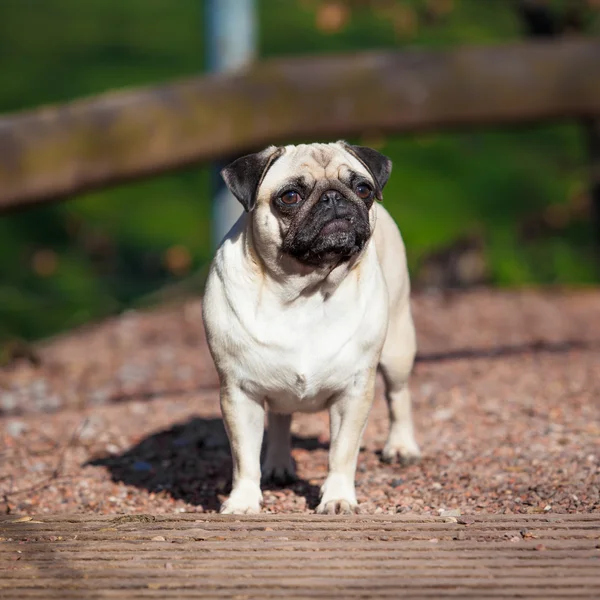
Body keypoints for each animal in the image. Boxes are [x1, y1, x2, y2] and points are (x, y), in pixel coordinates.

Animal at [202, 142, 418, 516]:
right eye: (290, 196)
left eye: (363, 189)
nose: (333, 198)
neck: (304, 292)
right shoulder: (239, 393)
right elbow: (245, 459)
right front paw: (243, 501)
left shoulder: (353, 394)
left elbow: (342, 453)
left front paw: (338, 498)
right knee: (280, 418)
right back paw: (278, 465)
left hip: (397, 350)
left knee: (398, 396)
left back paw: (401, 446)